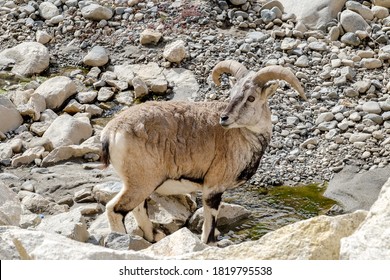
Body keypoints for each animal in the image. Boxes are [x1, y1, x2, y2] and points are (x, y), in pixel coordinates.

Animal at [101, 60, 308, 243]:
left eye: (251, 97)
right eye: (232, 93)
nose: (224, 118)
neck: (242, 136)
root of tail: (111, 131)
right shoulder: (213, 187)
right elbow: (209, 228)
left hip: (139, 183)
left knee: (138, 208)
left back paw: (153, 236)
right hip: (141, 182)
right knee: (115, 209)